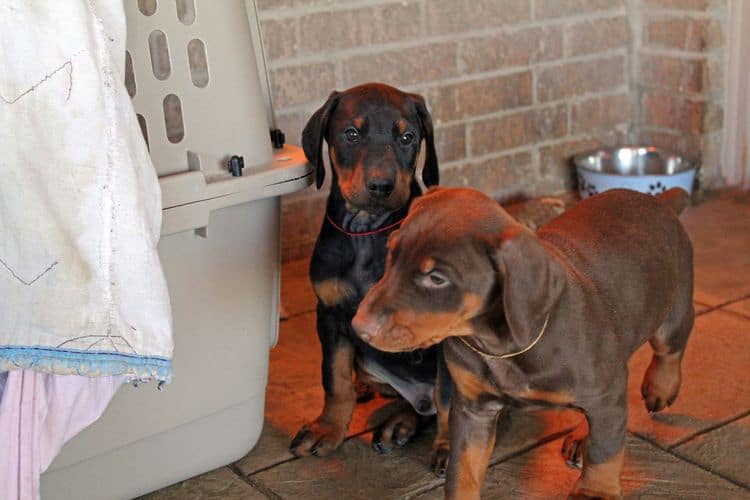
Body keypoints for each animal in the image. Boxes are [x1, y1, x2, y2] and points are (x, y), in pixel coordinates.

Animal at [290, 82, 450, 468]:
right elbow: (334, 378)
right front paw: (327, 430)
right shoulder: (330, 314)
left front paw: (450, 447)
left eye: (407, 137)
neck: (366, 229)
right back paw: (394, 419)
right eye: (351, 134)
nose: (381, 185)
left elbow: (453, 398)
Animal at [356, 188, 696, 500]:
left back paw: (659, 388)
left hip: (674, 306)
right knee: (442, 404)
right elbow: (462, 467)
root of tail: (657, 200)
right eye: (390, 252)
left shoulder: (605, 393)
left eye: (437, 278)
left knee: (668, 349)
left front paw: (595, 492)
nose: (359, 327)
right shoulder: (473, 410)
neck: (501, 347)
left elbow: (605, 452)